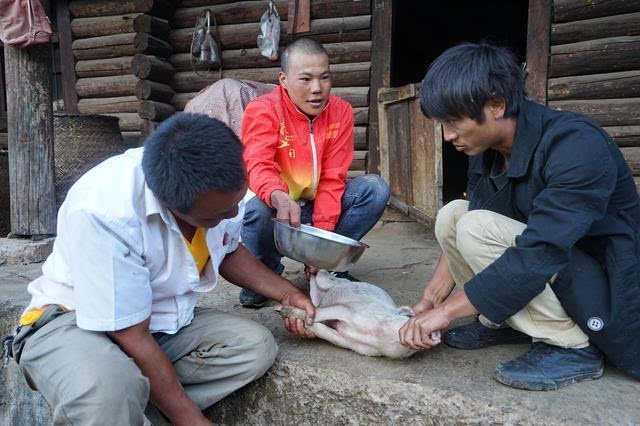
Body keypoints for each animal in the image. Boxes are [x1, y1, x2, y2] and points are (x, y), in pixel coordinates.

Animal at [276, 272, 440, 358]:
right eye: (409, 317)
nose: (436, 333)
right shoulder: (347, 309)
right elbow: (318, 314)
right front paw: (281, 309)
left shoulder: (352, 344)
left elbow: (324, 332)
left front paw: (296, 321)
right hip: (332, 283)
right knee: (322, 275)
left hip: (321, 293)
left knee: (315, 287)